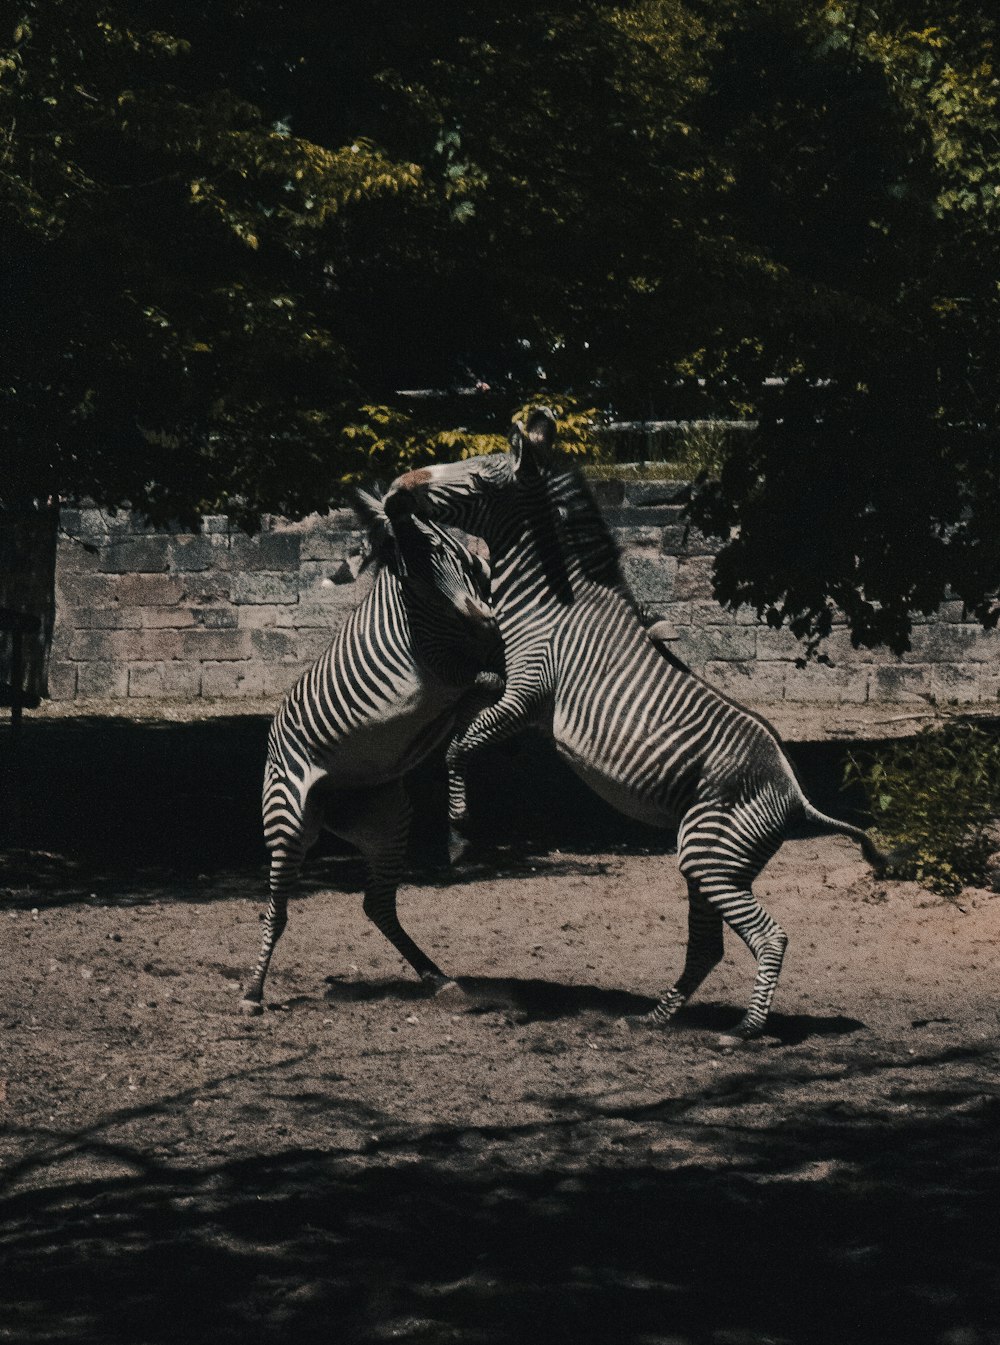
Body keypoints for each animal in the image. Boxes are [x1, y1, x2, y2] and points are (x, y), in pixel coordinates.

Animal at [240, 492, 503, 1011]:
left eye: (447, 549)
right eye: (410, 565)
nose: (482, 617)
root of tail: (329, 805)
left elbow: (475, 709)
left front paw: (458, 819)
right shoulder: (445, 671)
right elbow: (484, 685)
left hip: (387, 819)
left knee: (377, 904)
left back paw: (439, 979)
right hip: (288, 817)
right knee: (276, 910)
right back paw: (253, 992)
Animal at [382, 408, 882, 1038]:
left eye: (475, 476)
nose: (396, 486)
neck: (548, 606)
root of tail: (797, 796)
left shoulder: (527, 693)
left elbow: (458, 746)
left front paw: (457, 835)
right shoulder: (518, 700)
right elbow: (463, 725)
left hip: (711, 854)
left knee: (770, 936)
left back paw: (744, 1030)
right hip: (711, 857)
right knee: (707, 947)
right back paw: (654, 1019)